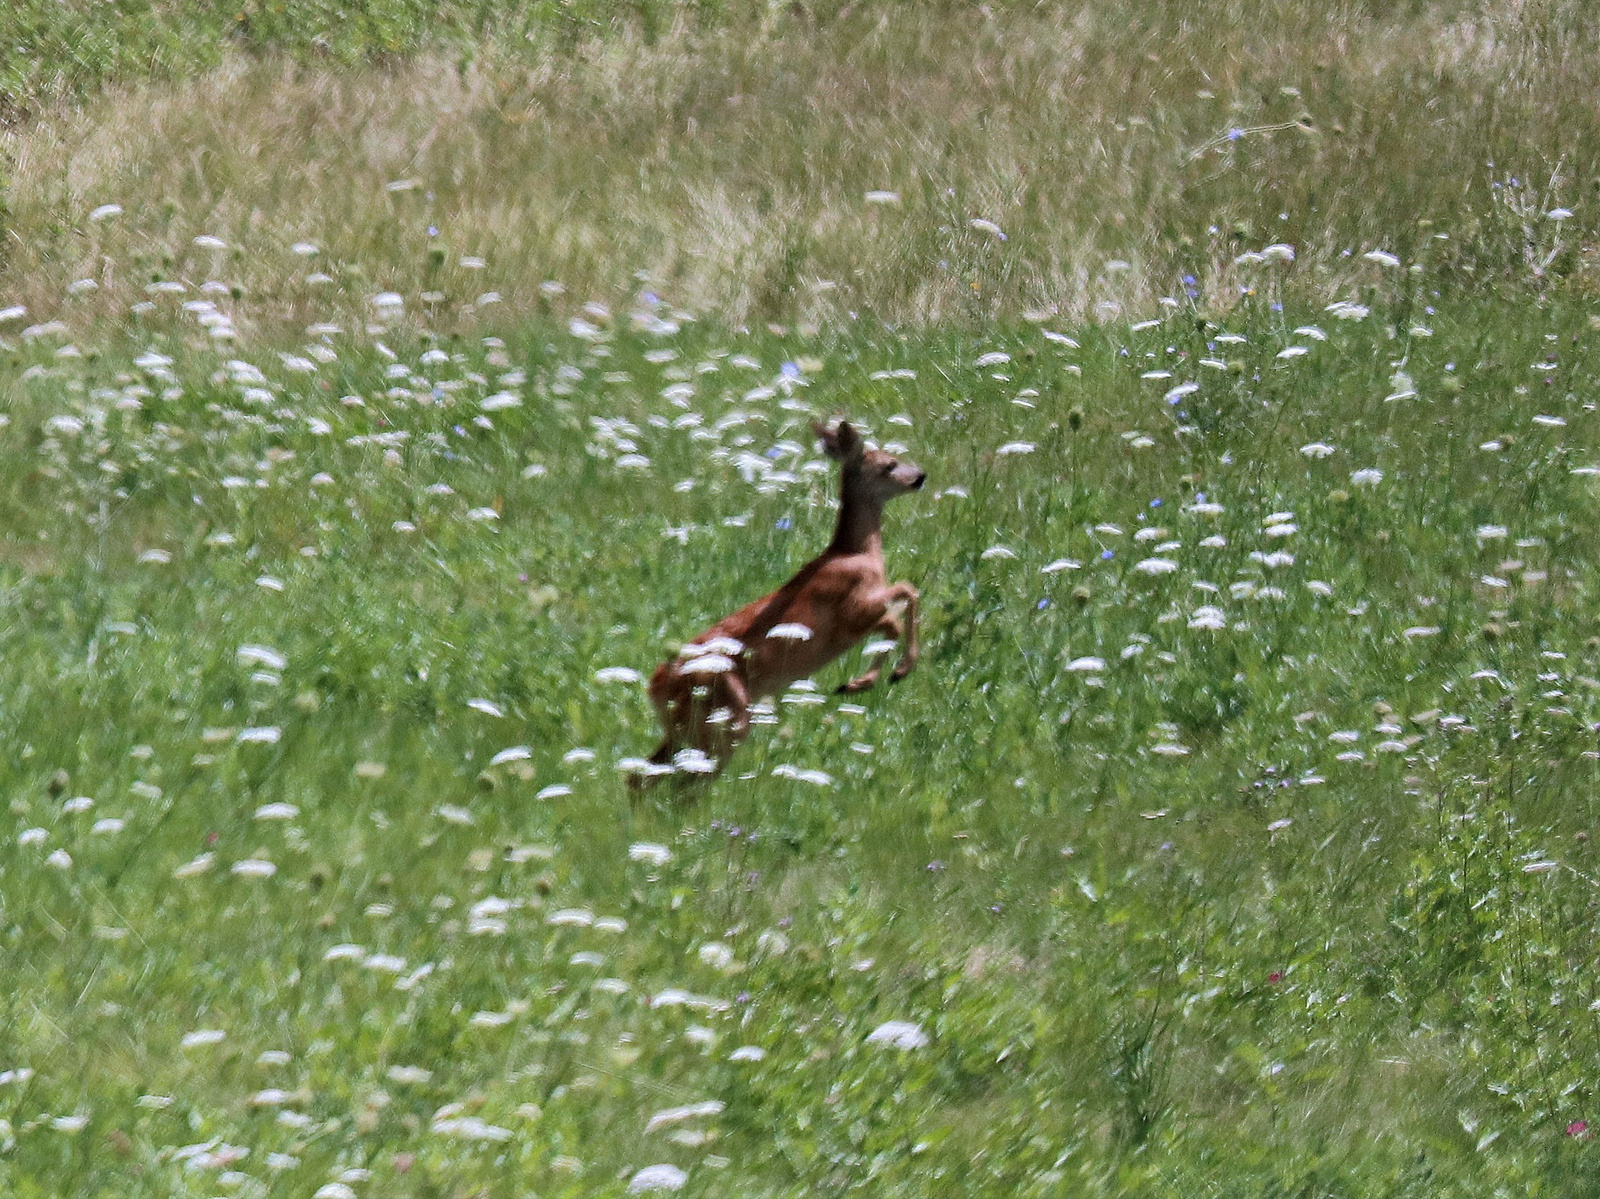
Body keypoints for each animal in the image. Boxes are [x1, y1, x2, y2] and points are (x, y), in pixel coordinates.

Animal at [627, 416, 928, 790]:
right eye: (890, 464)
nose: (920, 476)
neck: (856, 553)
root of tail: (655, 685)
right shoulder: (853, 611)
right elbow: (905, 597)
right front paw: (889, 674)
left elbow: (896, 615)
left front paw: (862, 681)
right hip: (725, 716)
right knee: (684, 777)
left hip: (688, 725)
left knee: (643, 775)